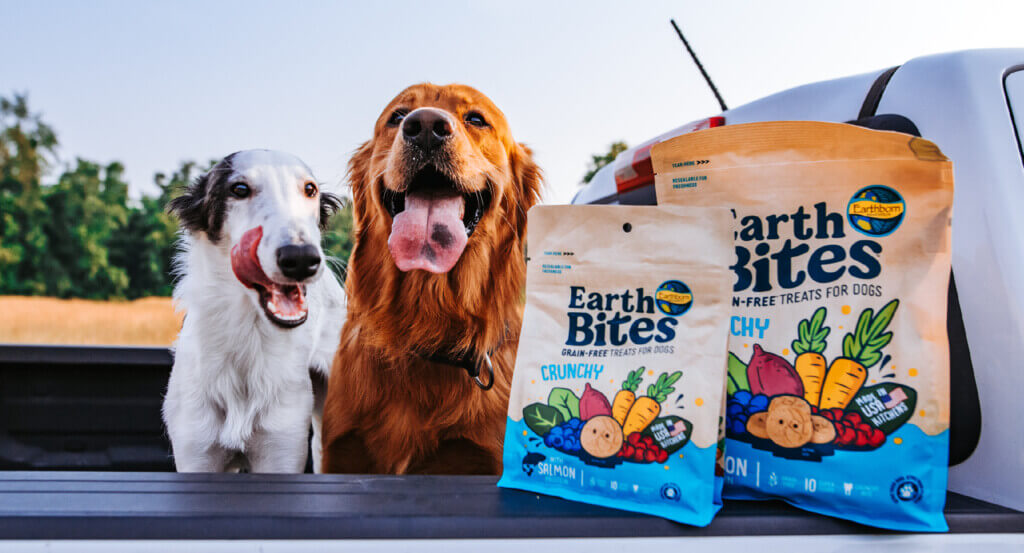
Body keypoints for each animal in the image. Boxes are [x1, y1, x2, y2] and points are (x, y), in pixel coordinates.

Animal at [162, 150, 344, 471]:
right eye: (239, 189)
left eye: (310, 189)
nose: (302, 258)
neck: (247, 337)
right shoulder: (196, 454)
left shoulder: (281, 451)